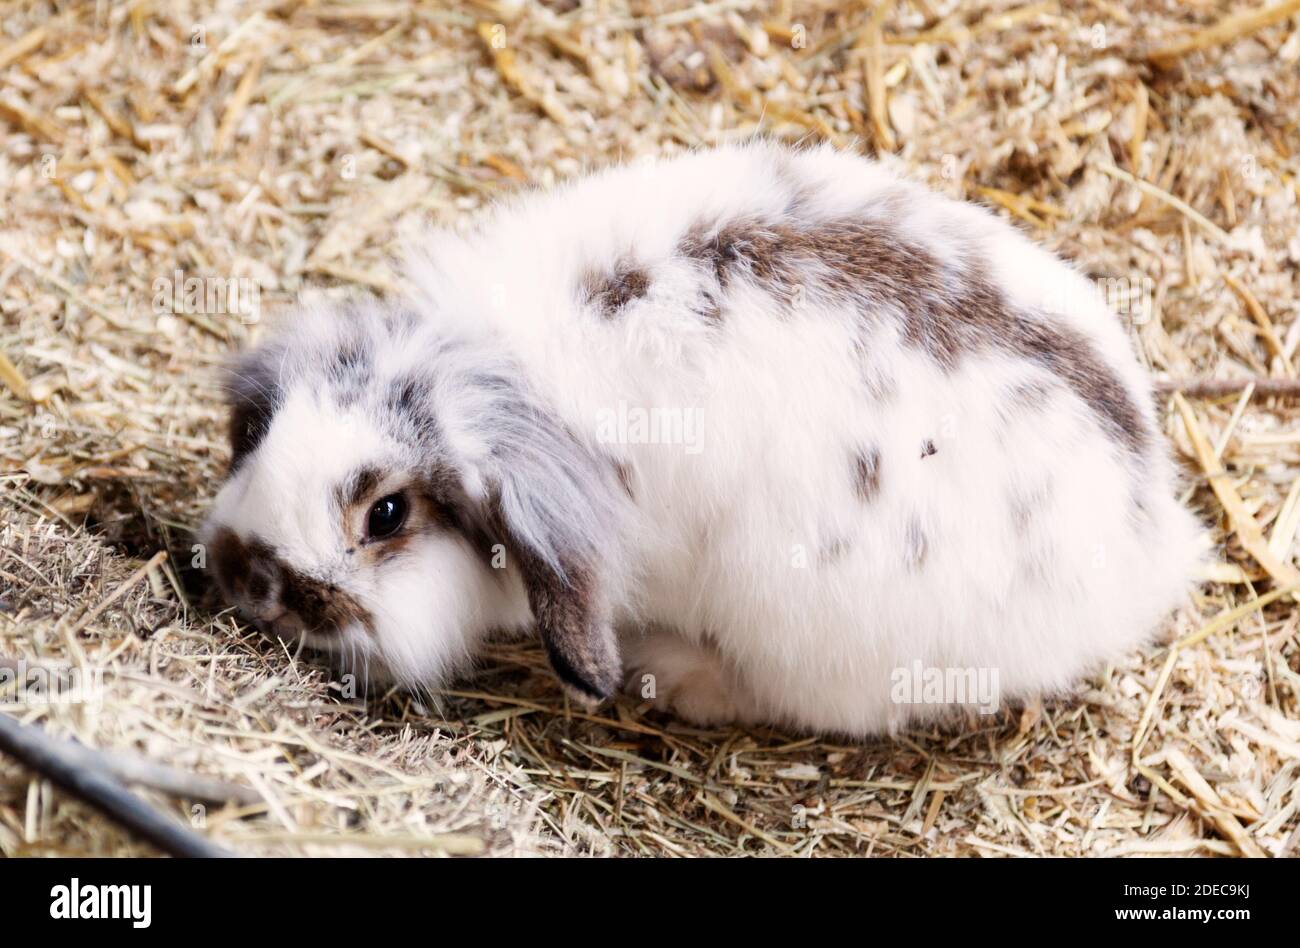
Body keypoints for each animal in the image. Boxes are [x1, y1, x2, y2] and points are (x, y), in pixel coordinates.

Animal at [201, 140, 1203, 737]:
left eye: (387, 515)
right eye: (261, 432)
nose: (248, 577)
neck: (502, 376)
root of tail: (1150, 534)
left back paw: (680, 674)